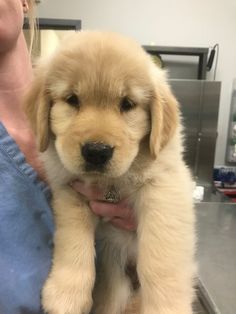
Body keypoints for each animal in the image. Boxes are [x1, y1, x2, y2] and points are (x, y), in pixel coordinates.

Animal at [24, 31, 196, 314]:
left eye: (127, 104)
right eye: (72, 100)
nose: (96, 151)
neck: (110, 182)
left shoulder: (164, 187)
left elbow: (160, 258)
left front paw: (166, 307)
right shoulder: (69, 190)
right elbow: (73, 240)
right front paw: (66, 294)